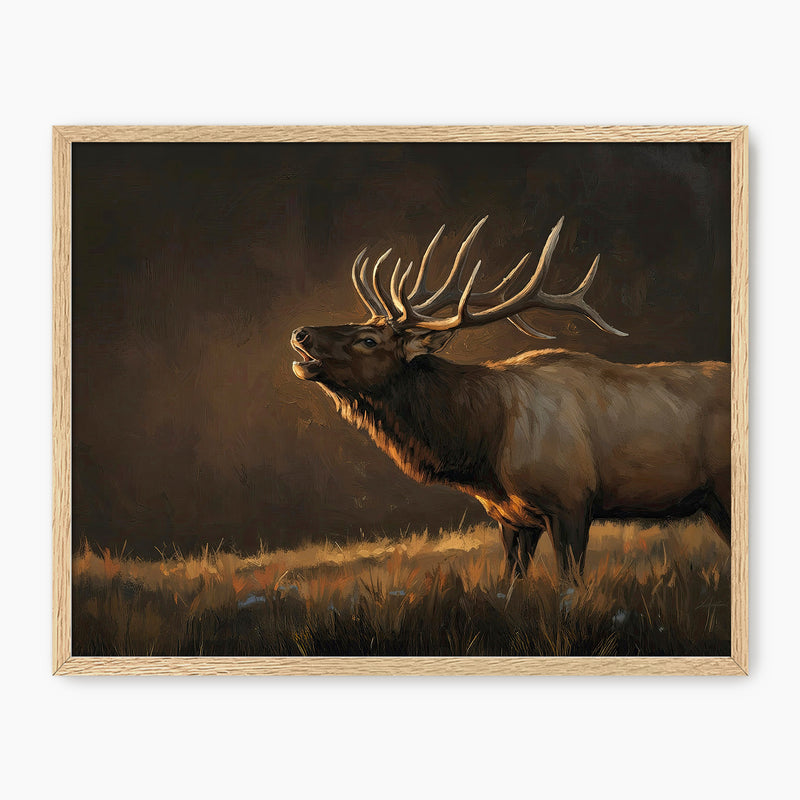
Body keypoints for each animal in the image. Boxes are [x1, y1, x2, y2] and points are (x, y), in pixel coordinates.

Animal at [290, 216, 731, 580]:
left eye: (369, 339)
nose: (300, 333)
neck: (486, 447)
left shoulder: (571, 501)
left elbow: (570, 585)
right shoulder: (513, 518)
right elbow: (510, 584)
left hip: (723, 488)